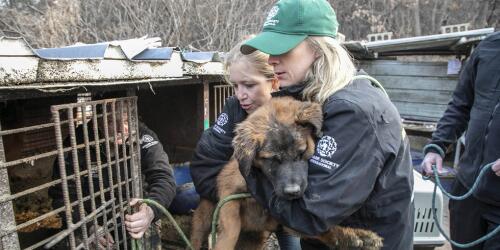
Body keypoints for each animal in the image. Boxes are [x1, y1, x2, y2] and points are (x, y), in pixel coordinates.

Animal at [190, 97, 382, 250]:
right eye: (272, 159)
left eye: (301, 152)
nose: (293, 192)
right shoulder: (228, 188)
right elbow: (230, 227)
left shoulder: (283, 219)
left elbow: (319, 228)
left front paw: (356, 237)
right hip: (203, 219)